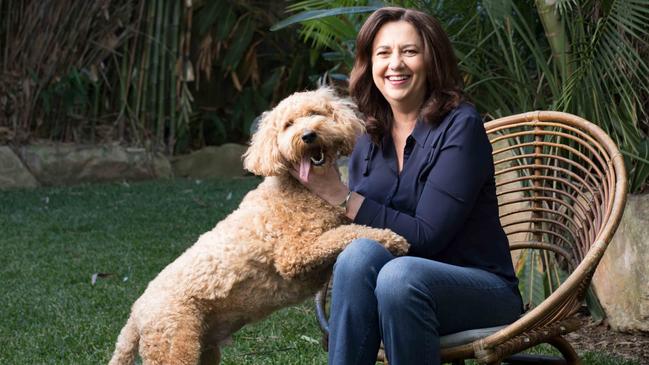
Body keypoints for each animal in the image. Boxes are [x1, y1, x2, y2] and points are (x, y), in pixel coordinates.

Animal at [108, 88, 408, 364]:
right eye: (288, 125)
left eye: (315, 113)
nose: (308, 135)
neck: (301, 190)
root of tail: (135, 315)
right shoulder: (294, 255)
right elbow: (345, 233)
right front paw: (392, 238)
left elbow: (345, 228)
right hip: (175, 345)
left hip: (203, 349)